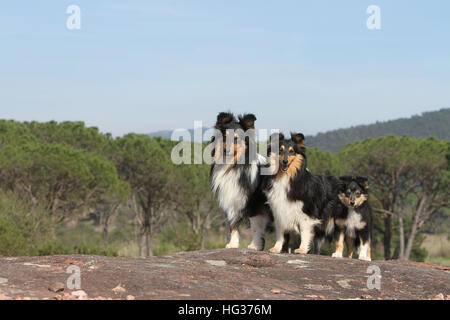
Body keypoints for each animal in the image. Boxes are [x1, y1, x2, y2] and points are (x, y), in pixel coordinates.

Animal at [211, 112, 278, 250]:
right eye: (224, 137)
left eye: (236, 139)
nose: (226, 151)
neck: (233, 166)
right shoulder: (231, 201)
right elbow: (233, 225)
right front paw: (232, 244)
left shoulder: (254, 205)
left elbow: (256, 227)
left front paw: (254, 246)